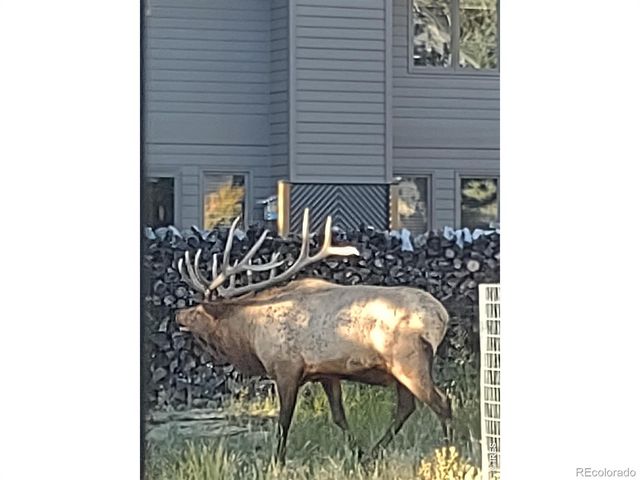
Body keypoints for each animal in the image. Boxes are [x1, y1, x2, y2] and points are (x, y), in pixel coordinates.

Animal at [175, 209, 452, 464]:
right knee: (407, 407)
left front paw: (277, 461)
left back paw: (449, 453)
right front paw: (357, 453)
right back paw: (374, 453)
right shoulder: (327, 373)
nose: (179, 314)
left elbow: (284, 420)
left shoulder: (286, 368)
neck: (251, 334)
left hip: (409, 361)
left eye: (198, 309)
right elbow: (339, 416)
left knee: (441, 402)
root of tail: (441, 317)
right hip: (400, 370)